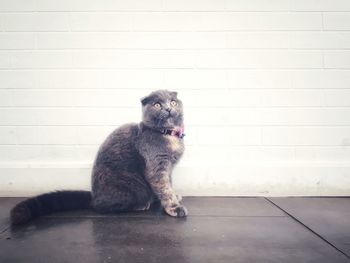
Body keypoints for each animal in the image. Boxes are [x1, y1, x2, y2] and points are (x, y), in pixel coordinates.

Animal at [10, 89, 187, 226]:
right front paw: (174, 207)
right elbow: (164, 187)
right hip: (133, 185)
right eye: (157, 105)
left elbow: (168, 184)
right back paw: (141, 204)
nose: (168, 108)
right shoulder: (156, 166)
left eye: (173, 102)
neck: (168, 134)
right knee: (101, 207)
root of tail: (93, 196)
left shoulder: (168, 167)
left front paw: (174, 197)